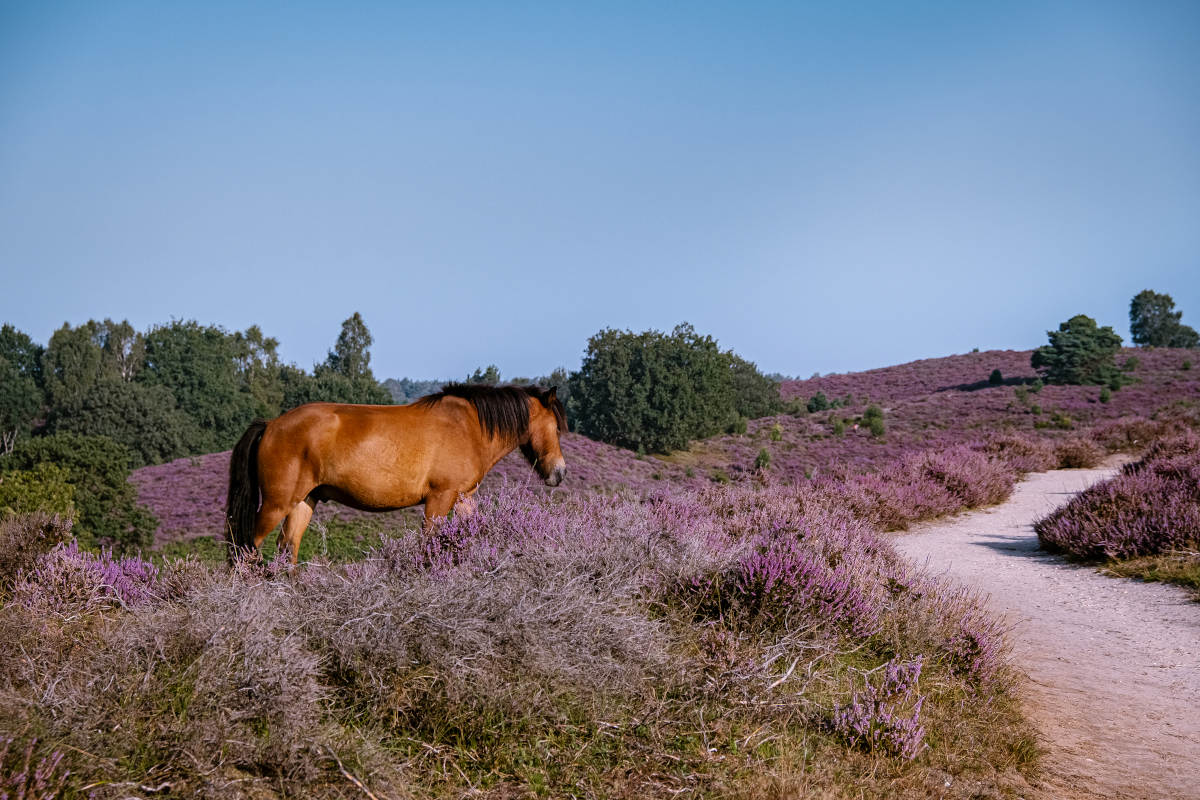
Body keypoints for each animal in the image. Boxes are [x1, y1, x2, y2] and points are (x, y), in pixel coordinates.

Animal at [226, 383, 568, 563]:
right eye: (556, 428)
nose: (559, 473)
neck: (468, 426)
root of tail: (271, 425)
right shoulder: (439, 499)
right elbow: (430, 543)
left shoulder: (464, 498)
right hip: (276, 504)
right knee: (245, 546)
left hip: (303, 502)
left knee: (287, 549)